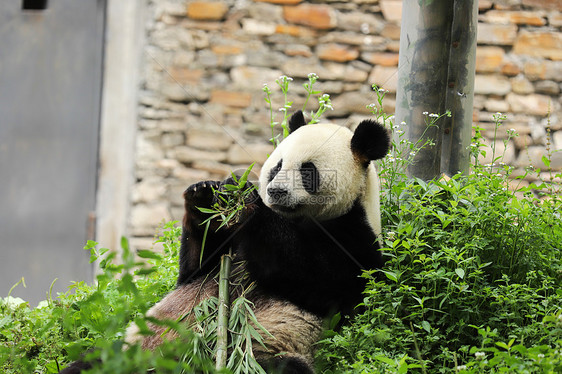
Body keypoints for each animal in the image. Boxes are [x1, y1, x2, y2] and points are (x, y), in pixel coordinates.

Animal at [59, 112, 388, 374]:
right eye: (277, 166)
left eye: (308, 171)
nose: (276, 191)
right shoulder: (227, 251)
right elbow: (196, 269)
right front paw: (205, 193)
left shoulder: (353, 237)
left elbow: (311, 274)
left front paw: (244, 200)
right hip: (130, 349)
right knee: (90, 363)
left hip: (262, 352)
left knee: (283, 367)